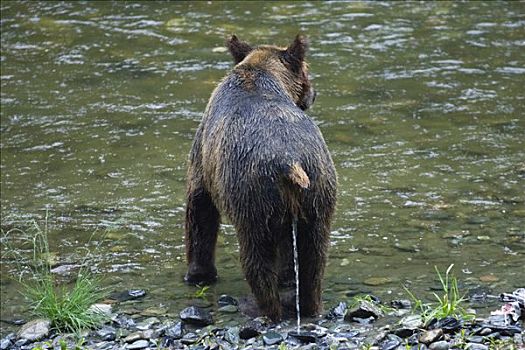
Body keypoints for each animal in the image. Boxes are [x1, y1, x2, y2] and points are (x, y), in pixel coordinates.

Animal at [184, 34, 336, 322]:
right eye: (308, 69)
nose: (314, 93)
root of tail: (290, 162)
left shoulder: (204, 155)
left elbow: (200, 206)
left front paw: (199, 273)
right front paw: (288, 277)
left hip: (253, 194)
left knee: (256, 255)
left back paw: (260, 307)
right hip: (318, 186)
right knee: (314, 255)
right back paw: (309, 304)